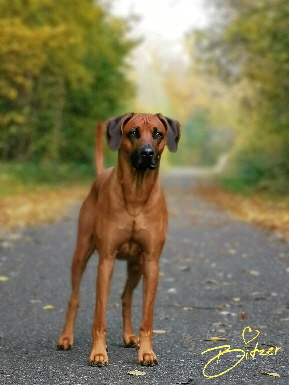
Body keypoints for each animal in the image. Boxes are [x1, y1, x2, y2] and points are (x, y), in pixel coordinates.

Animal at [56, 112, 180, 366]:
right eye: (133, 132)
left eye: (158, 133)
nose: (147, 153)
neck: (136, 194)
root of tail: (100, 174)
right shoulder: (106, 260)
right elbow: (99, 315)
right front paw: (98, 352)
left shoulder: (151, 261)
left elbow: (147, 317)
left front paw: (146, 352)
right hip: (81, 253)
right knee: (74, 299)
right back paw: (65, 337)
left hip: (137, 265)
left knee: (126, 297)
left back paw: (129, 336)